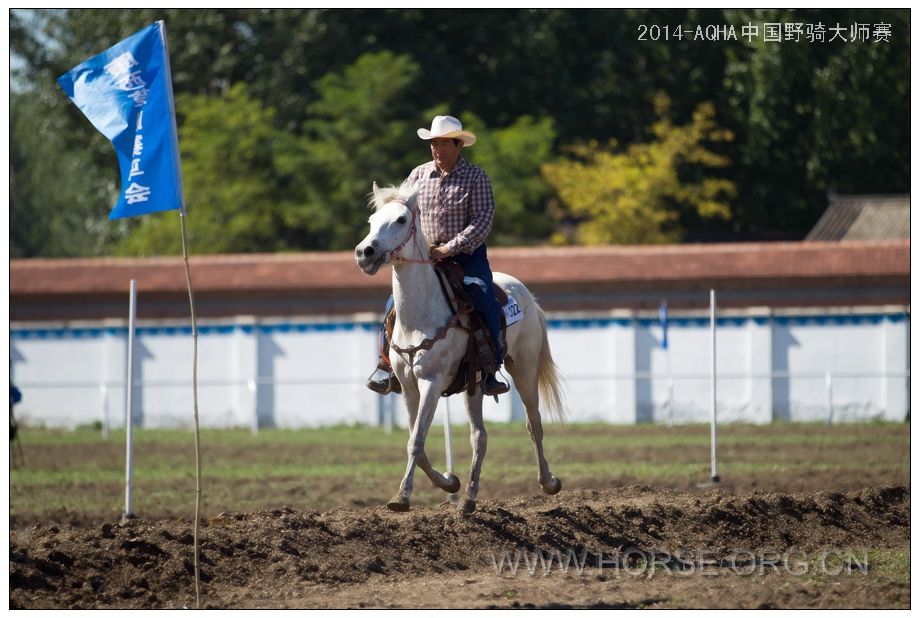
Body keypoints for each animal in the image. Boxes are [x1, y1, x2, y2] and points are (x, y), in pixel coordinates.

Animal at [354, 180, 564, 512]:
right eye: (372, 221)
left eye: (401, 219)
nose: (365, 252)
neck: (419, 315)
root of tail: (525, 293)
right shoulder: (408, 385)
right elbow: (417, 441)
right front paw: (448, 481)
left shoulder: (432, 382)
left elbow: (416, 440)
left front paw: (402, 497)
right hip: (474, 384)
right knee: (480, 436)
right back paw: (468, 498)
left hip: (524, 369)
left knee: (534, 424)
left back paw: (549, 482)